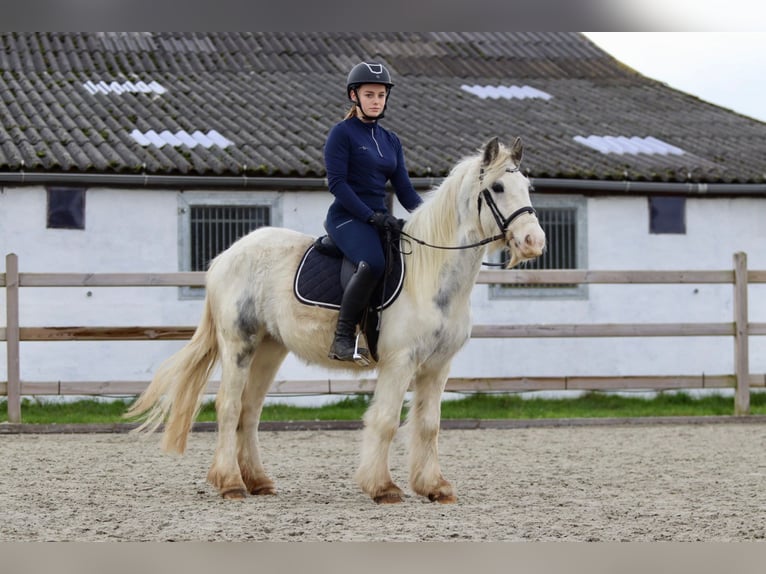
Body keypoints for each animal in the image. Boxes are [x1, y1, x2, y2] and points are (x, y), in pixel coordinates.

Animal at [126, 137, 544, 506]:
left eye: (527, 187)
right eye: (498, 187)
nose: (534, 242)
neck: (431, 275)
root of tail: (226, 256)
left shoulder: (437, 366)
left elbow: (429, 425)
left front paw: (435, 488)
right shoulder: (400, 362)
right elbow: (386, 420)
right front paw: (383, 488)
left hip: (269, 349)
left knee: (249, 410)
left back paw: (258, 481)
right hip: (239, 344)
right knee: (229, 407)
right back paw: (230, 483)